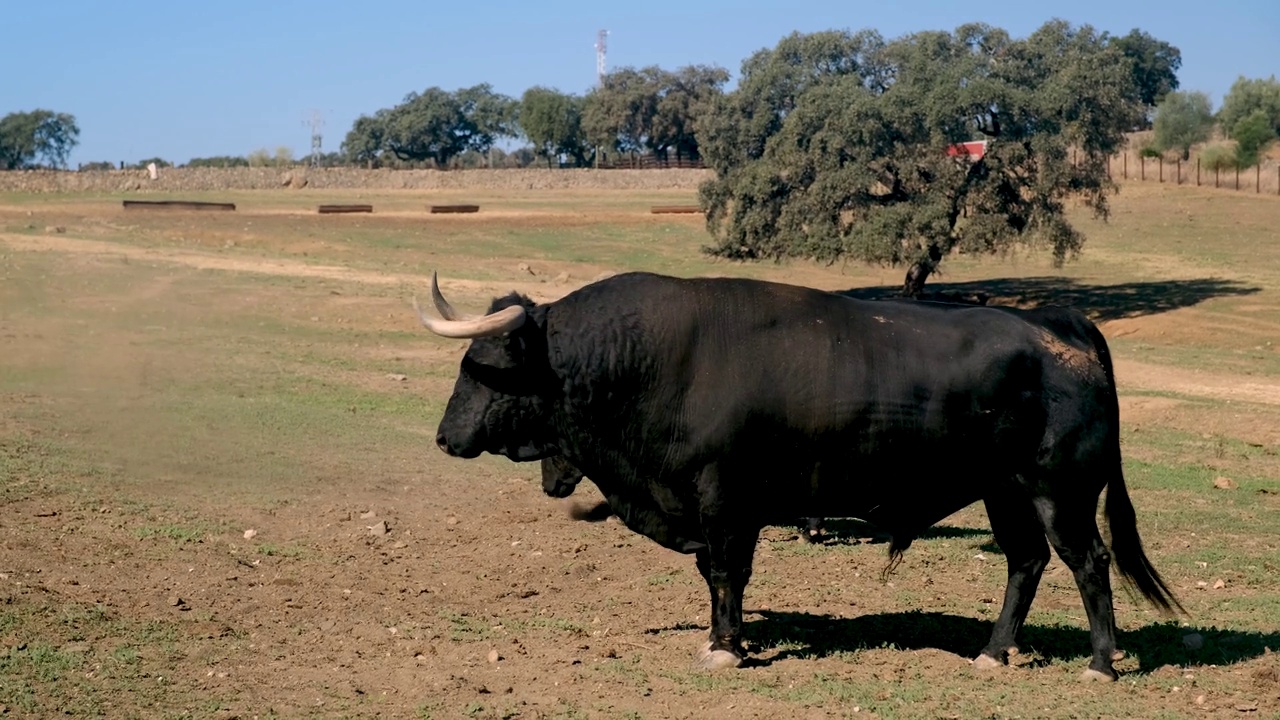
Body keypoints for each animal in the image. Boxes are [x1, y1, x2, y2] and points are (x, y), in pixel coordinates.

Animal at [414, 269, 1182, 676]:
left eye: (482, 365)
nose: (445, 437)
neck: (650, 360)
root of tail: (1057, 324)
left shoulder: (726, 501)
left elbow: (728, 574)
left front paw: (726, 649)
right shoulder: (715, 509)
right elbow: (717, 577)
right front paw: (727, 637)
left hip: (1061, 491)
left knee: (1088, 562)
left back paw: (1102, 663)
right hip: (1007, 492)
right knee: (1026, 563)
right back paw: (993, 653)